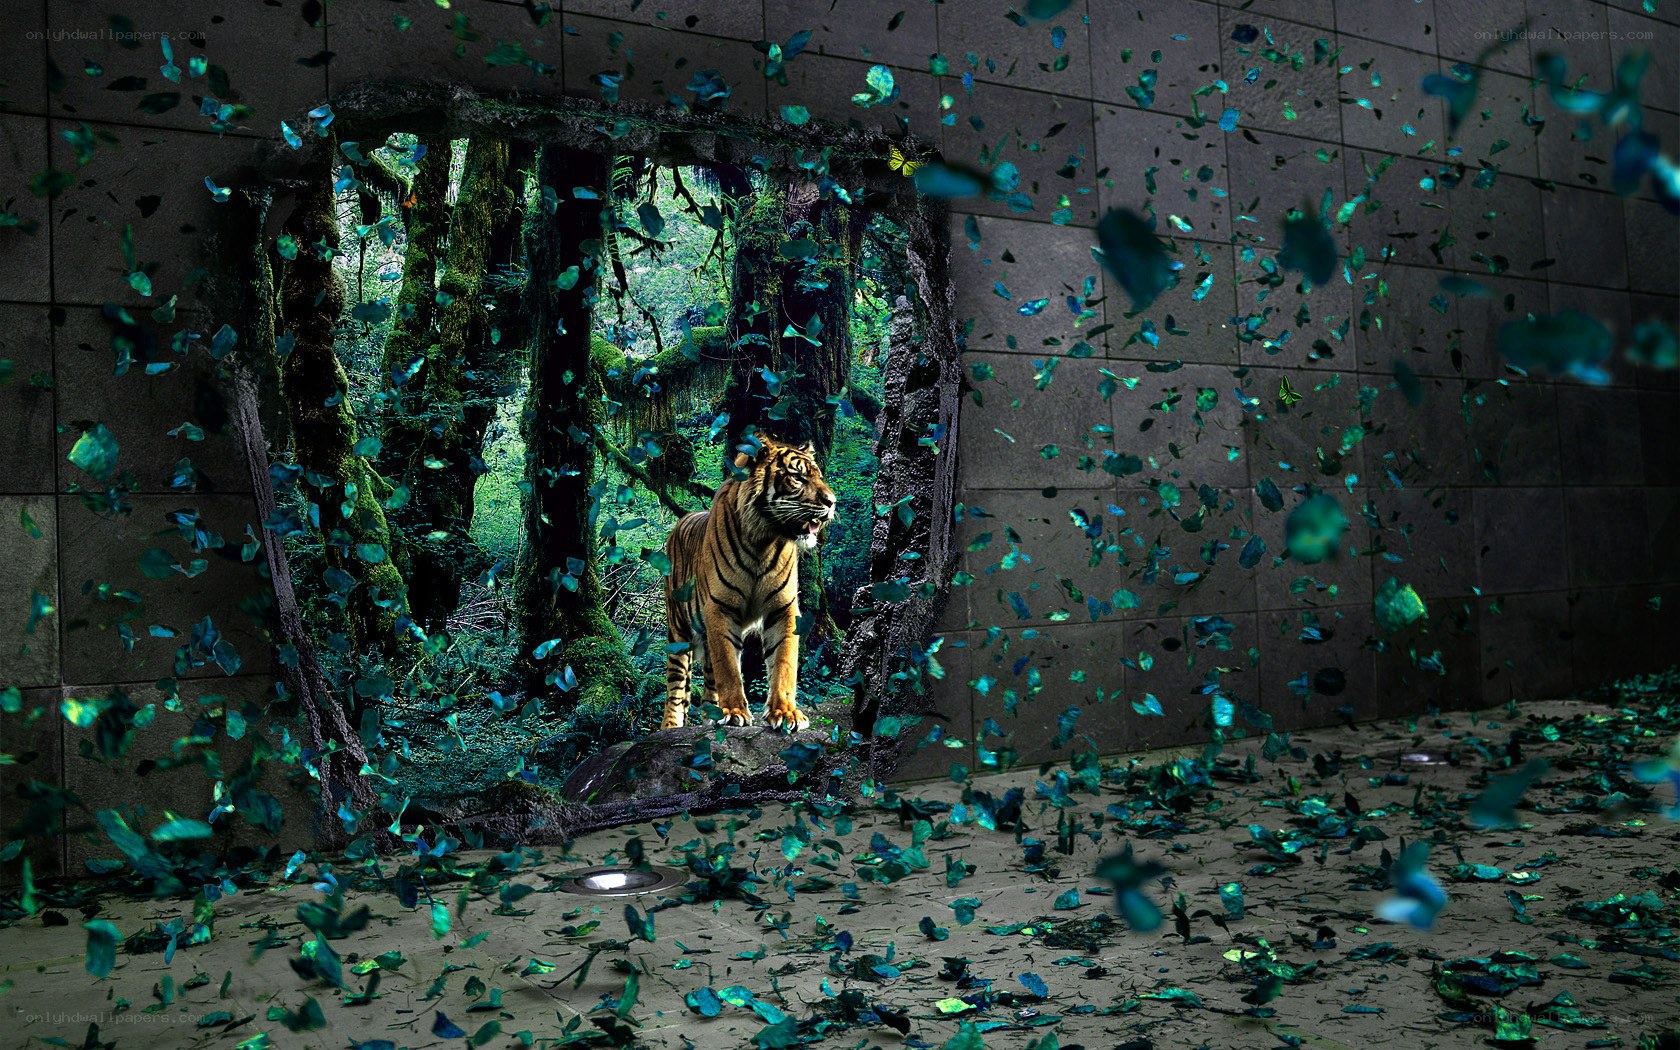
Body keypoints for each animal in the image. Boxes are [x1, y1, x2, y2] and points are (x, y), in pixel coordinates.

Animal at [660, 434, 837, 733]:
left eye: (819, 477)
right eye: (798, 477)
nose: (832, 502)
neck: (763, 540)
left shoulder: (783, 608)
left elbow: (783, 661)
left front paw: (785, 713)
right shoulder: (720, 608)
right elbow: (729, 668)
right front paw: (734, 711)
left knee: (708, 683)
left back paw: (711, 716)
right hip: (678, 632)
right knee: (676, 688)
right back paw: (671, 727)